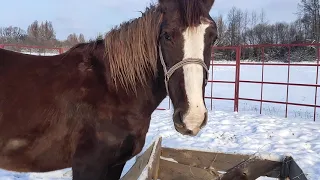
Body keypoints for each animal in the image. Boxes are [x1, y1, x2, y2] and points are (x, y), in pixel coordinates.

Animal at [0, 0, 218, 179]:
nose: (192, 118)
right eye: (166, 35)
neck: (114, 89)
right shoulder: (88, 165)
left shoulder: (115, 164)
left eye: (213, 37)